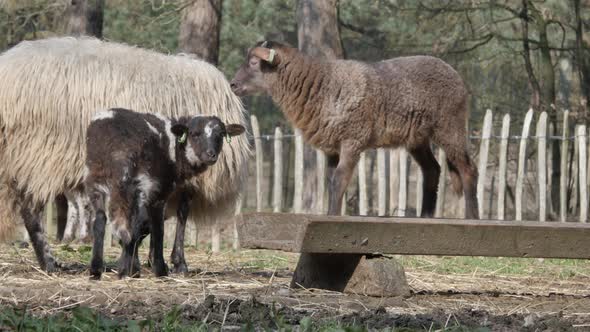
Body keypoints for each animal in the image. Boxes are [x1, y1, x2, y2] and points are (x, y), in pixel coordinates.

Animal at [231, 40, 480, 218]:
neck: (322, 83)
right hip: (417, 138)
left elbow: (339, 180)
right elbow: (331, 181)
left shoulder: (353, 140)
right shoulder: (332, 148)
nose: (233, 85)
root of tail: (455, 74)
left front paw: (332, 216)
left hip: (450, 126)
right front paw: (332, 213)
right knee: (432, 170)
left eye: (254, 63)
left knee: (468, 169)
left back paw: (472, 217)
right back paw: (426, 215)